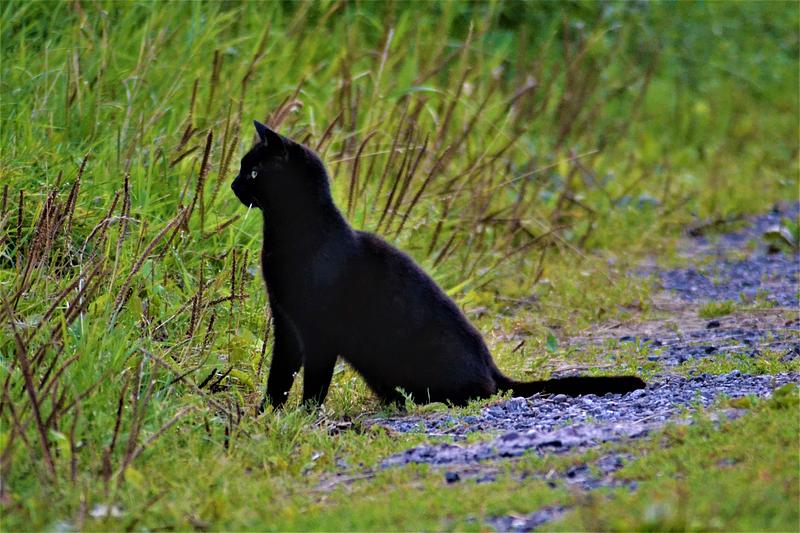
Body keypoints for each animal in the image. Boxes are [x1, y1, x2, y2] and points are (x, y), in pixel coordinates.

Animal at [232, 120, 645, 410]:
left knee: (477, 392)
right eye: (241, 168)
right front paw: (268, 414)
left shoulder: (319, 331)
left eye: (253, 172)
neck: (288, 234)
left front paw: (305, 416)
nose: (234, 185)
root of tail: (492, 369)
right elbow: (279, 375)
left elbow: (314, 382)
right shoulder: (286, 323)